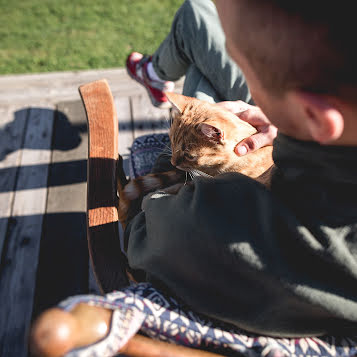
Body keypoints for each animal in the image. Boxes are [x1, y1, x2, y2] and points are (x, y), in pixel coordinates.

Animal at [117, 91, 272, 225]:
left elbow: (178, 189)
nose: (173, 163)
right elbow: (177, 186)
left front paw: (149, 198)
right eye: (171, 142)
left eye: (189, 156)